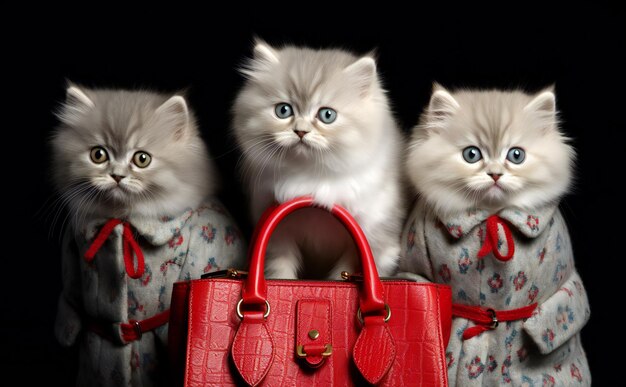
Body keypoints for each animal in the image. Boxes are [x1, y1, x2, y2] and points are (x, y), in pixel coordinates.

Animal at [232, 41, 402, 278]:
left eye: (327, 115)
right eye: (283, 110)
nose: (300, 131)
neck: (309, 176)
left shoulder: (374, 237)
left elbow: (342, 275)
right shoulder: (279, 233)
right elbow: (280, 271)